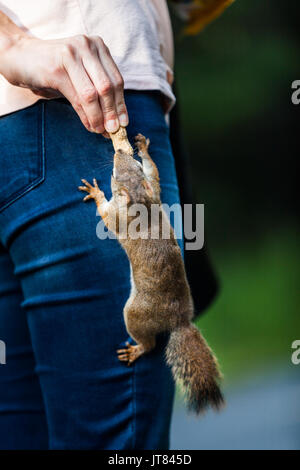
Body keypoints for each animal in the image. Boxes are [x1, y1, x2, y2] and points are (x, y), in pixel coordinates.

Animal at [78, 127, 224, 412]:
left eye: (114, 175)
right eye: (133, 166)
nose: (118, 152)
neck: (141, 202)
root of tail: (179, 321)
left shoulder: (119, 218)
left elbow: (106, 214)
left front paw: (96, 191)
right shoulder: (154, 193)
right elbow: (154, 174)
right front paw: (143, 148)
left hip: (134, 314)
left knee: (149, 343)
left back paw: (136, 349)